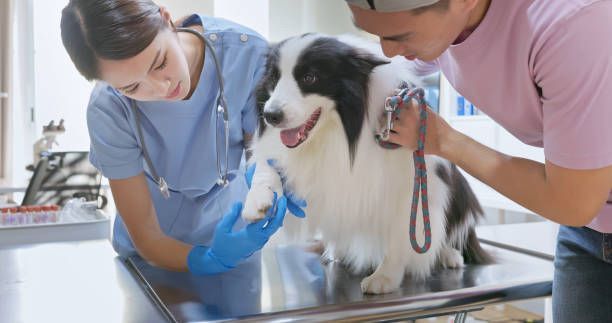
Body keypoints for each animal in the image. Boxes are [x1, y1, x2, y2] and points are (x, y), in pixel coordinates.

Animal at [244, 34, 492, 294]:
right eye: (274, 78)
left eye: (309, 77)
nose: (270, 115)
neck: (341, 130)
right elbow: (266, 166)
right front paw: (258, 200)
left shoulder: (411, 183)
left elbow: (402, 233)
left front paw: (385, 276)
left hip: (458, 191)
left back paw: (449, 254)